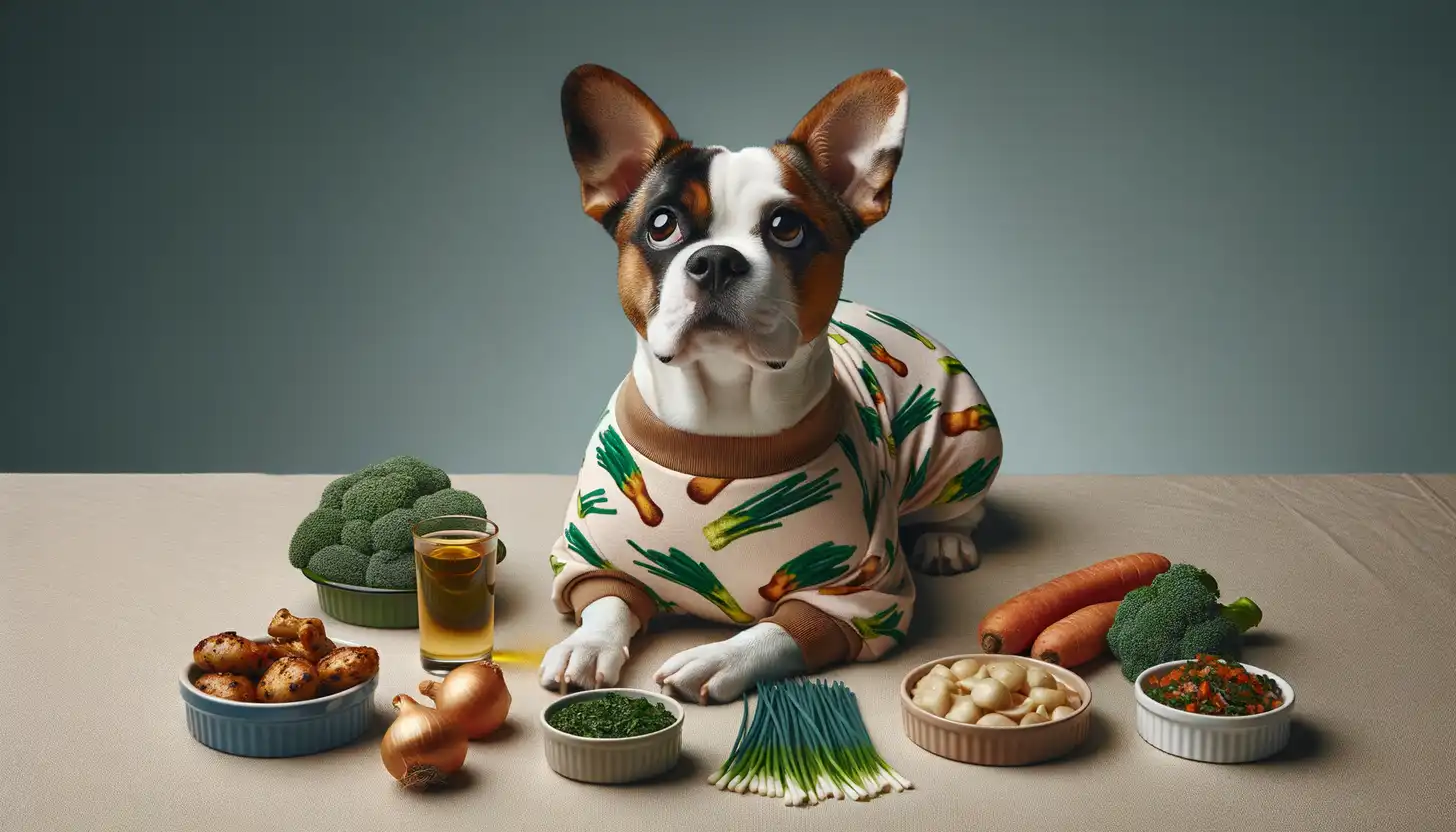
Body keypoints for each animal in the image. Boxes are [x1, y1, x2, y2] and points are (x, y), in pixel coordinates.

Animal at [538, 65, 1001, 705]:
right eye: (661, 225)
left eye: (787, 228)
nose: (715, 260)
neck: (724, 421)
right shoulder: (590, 556)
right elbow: (606, 602)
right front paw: (586, 645)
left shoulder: (863, 594)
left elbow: (779, 630)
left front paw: (717, 656)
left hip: (964, 440)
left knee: (964, 504)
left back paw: (945, 540)